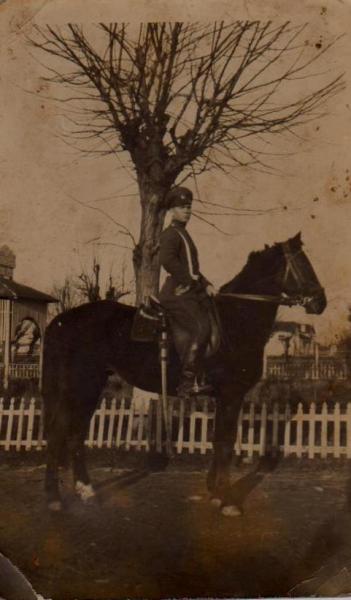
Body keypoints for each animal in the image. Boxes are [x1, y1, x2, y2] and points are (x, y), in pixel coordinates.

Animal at [43, 232, 328, 512]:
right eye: (303, 264)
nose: (320, 302)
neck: (236, 319)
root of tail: (63, 319)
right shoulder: (231, 394)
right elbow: (226, 443)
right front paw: (227, 500)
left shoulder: (223, 397)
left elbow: (218, 441)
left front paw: (215, 491)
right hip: (82, 386)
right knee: (60, 433)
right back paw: (55, 498)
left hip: (89, 387)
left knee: (75, 434)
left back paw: (86, 492)